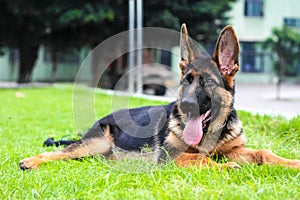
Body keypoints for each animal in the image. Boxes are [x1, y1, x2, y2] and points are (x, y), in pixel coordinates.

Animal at [19, 23, 298, 170]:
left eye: (208, 82)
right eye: (186, 82)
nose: (186, 105)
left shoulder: (236, 149)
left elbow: (264, 153)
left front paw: (291, 163)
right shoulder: (171, 156)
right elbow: (201, 157)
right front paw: (225, 166)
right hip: (94, 143)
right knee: (57, 153)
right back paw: (30, 161)